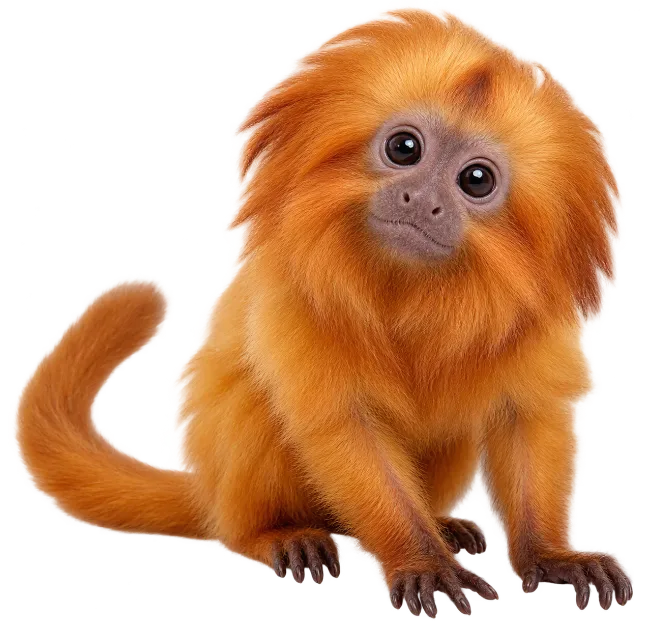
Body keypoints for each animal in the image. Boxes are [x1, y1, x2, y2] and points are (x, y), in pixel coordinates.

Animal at [11, 5, 632, 619]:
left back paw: (444, 525)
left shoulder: (534, 318)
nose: (423, 201)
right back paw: (280, 535)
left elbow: (528, 418)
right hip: (236, 493)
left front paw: (551, 555)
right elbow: (339, 425)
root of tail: (210, 493)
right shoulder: (297, 297)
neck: (411, 289)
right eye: (404, 149)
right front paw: (421, 561)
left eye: (475, 180)